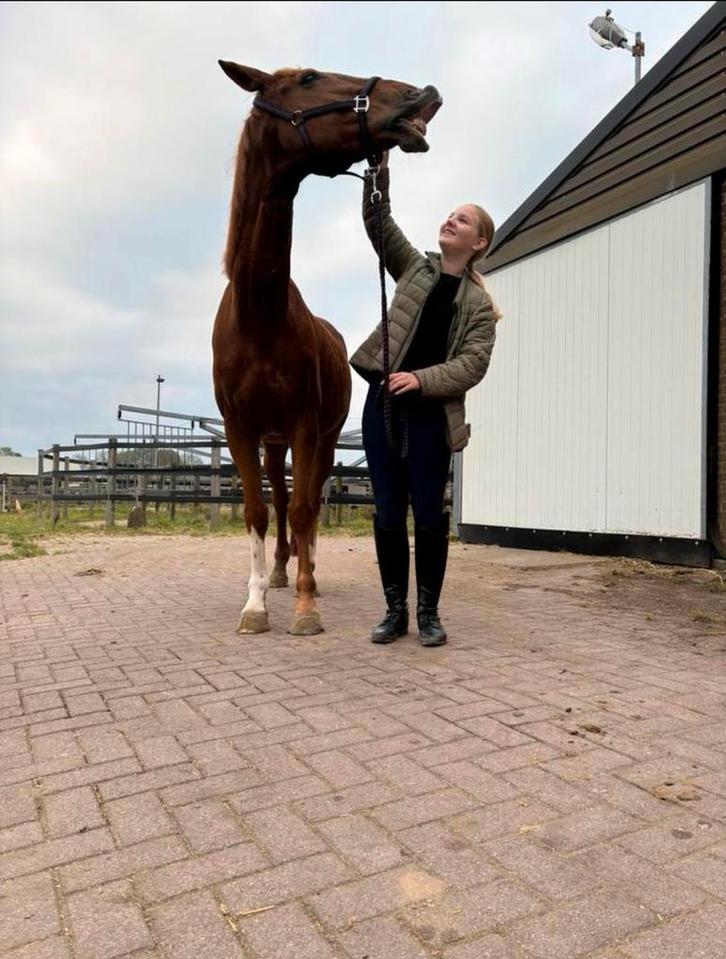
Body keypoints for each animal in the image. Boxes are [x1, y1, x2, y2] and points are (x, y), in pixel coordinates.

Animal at [213, 62, 441, 635]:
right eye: (310, 78)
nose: (418, 95)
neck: (259, 316)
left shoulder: (305, 424)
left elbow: (304, 509)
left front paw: (305, 606)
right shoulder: (240, 429)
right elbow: (258, 511)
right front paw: (255, 605)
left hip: (323, 436)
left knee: (310, 499)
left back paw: (307, 575)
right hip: (275, 444)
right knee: (282, 495)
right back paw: (278, 573)